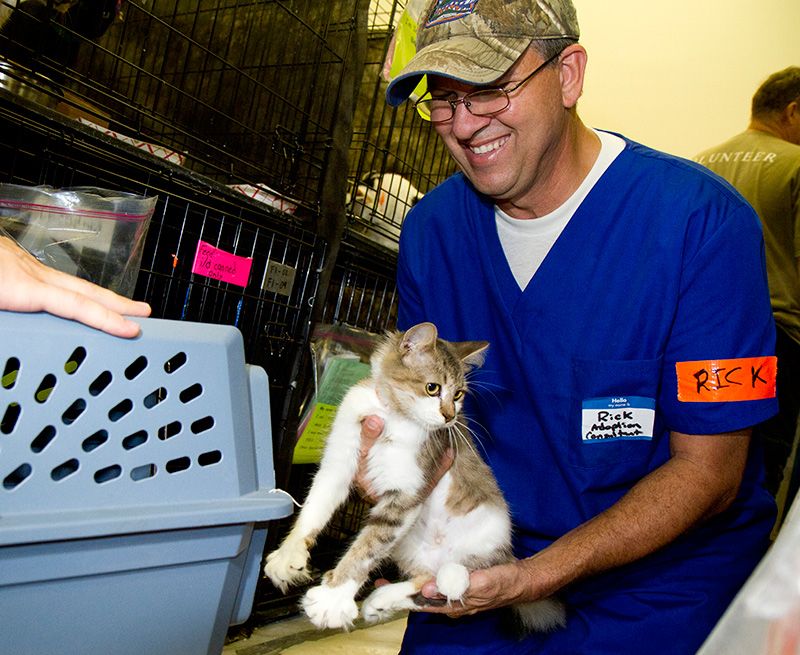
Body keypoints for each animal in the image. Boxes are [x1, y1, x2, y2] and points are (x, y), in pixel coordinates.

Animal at [262, 322, 564, 636]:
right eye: (433, 388)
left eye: (458, 395)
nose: (449, 417)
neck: (392, 416)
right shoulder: (339, 461)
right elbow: (315, 507)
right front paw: (287, 556)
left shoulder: (407, 491)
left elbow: (369, 546)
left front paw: (333, 599)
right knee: (427, 584)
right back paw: (380, 601)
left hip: (485, 541)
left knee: (452, 582)